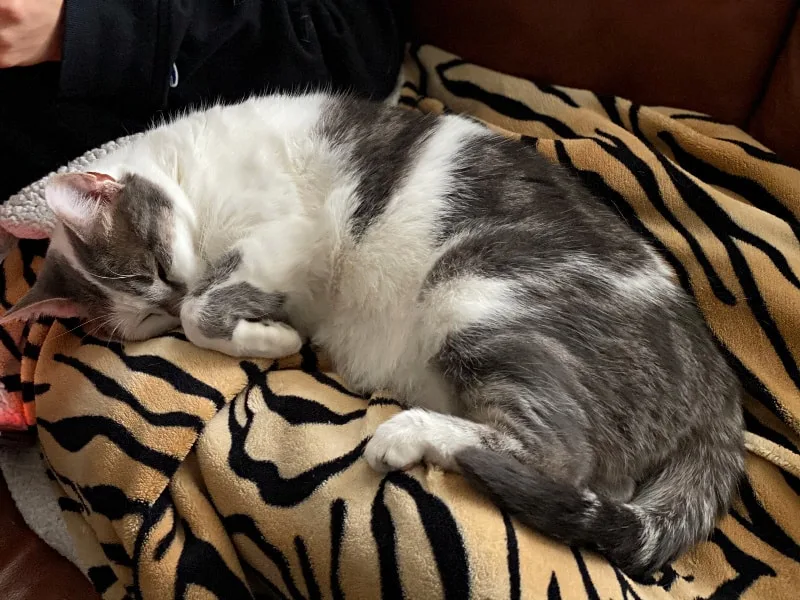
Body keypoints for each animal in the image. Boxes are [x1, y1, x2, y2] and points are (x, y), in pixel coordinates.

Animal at [4, 91, 744, 576]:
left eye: (156, 270)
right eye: (144, 318)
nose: (175, 290)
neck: (188, 168)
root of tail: (720, 390)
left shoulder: (280, 235)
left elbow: (206, 311)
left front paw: (268, 337)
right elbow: (206, 320)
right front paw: (262, 330)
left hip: (474, 289)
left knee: (562, 455)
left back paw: (408, 433)